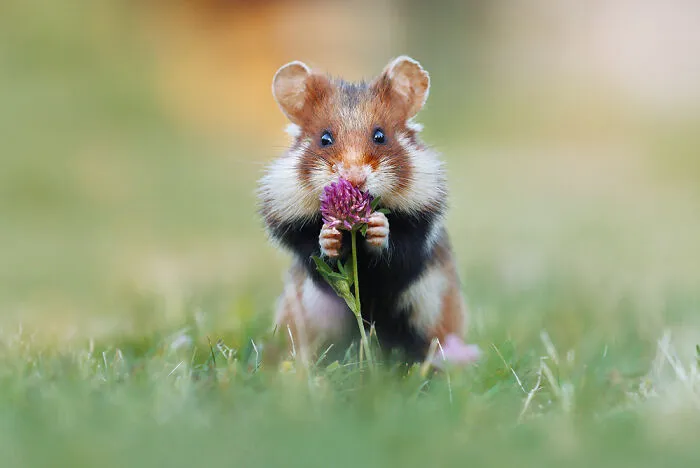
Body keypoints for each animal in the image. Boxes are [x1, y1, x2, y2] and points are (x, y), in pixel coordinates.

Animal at [258, 56, 479, 365]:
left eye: (380, 136)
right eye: (324, 138)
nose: (354, 179)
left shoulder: (419, 233)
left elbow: (398, 249)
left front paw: (377, 226)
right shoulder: (297, 235)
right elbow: (316, 251)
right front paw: (329, 236)